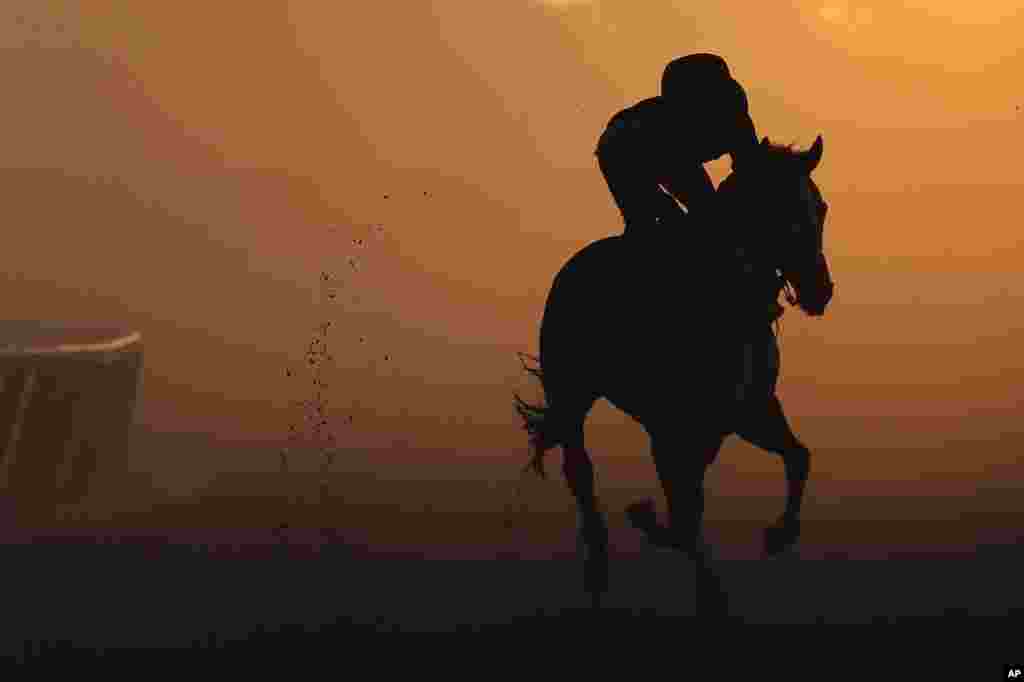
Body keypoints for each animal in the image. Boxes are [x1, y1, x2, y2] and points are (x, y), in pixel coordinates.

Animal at [516, 135, 835, 602]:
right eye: (778, 209)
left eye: (821, 207)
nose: (819, 290)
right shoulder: (674, 426)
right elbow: (684, 512)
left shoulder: (746, 412)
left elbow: (797, 456)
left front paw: (778, 535)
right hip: (572, 392)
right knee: (580, 470)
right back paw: (598, 564)